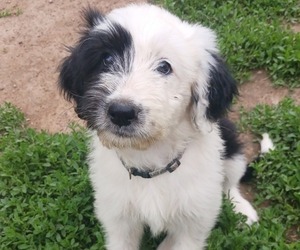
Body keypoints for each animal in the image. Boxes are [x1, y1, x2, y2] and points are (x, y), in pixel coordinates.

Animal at [58, 3, 258, 248]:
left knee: (231, 182)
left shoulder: (194, 223)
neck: (151, 163)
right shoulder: (118, 220)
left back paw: (243, 211)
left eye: (164, 67)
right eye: (106, 59)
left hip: (230, 147)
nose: (121, 112)